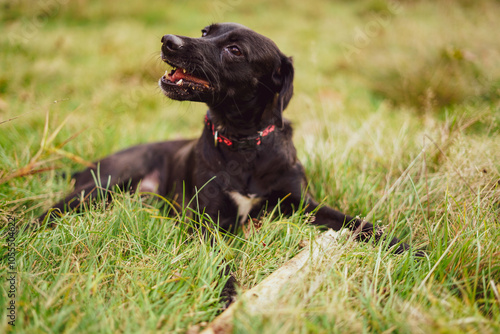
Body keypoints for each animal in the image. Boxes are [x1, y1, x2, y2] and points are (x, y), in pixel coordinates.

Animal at [39, 22, 412, 254]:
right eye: (205, 32)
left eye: (235, 50)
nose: (167, 40)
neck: (244, 141)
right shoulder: (208, 221)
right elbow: (222, 263)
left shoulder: (302, 204)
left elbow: (360, 223)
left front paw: (409, 248)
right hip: (100, 186)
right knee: (49, 212)